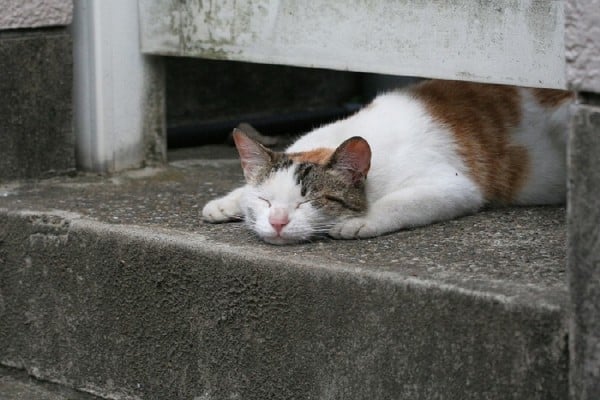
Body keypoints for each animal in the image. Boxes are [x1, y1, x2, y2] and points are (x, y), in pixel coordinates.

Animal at [202, 80, 572, 245]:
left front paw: (359, 221)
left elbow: (400, 202)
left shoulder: (453, 185)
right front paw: (227, 202)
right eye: (265, 200)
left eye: (309, 202)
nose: (277, 222)